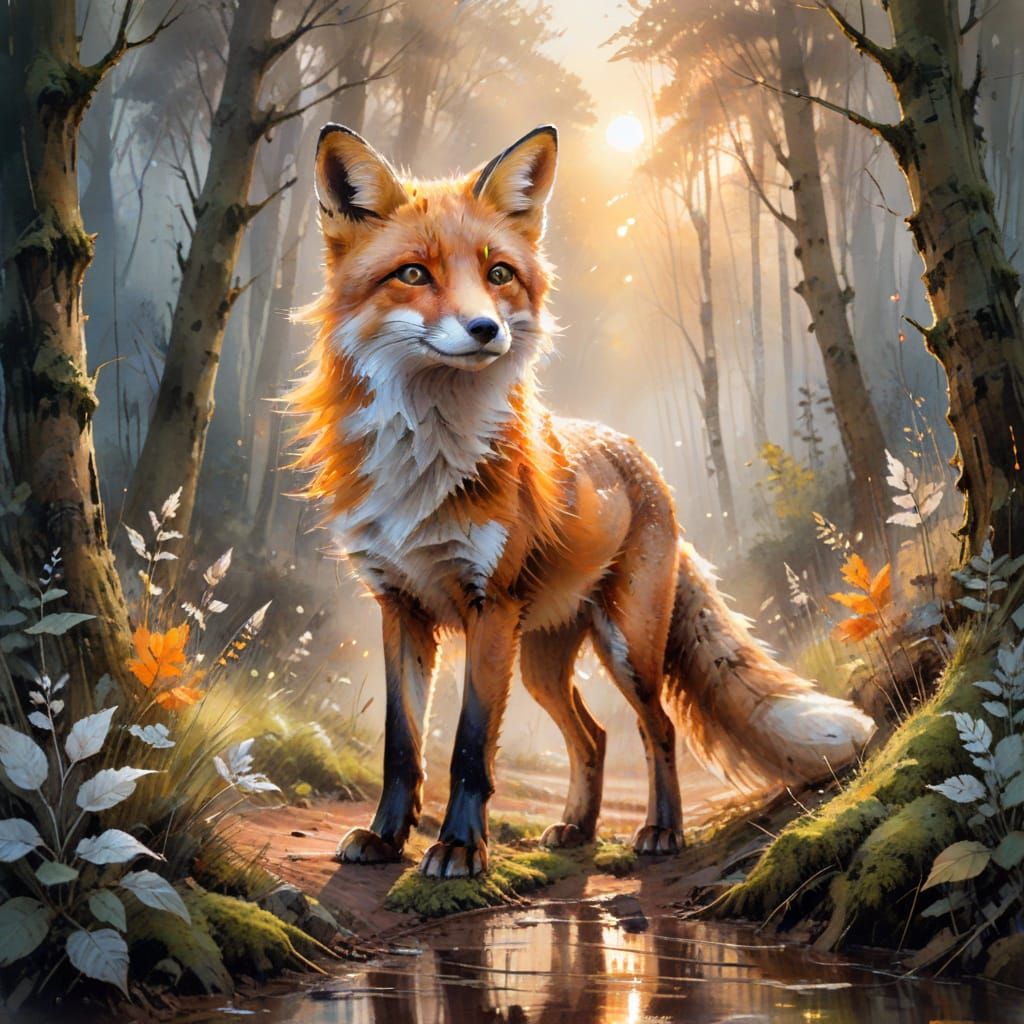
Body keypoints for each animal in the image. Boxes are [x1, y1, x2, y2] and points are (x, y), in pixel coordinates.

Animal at [289, 122, 876, 879]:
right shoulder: (400, 606)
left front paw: (460, 847)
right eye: (414, 274)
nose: (486, 330)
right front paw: (386, 839)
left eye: (499, 274)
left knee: (656, 728)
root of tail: (640, 458)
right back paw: (578, 826)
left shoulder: (488, 606)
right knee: (592, 735)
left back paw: (661, 831)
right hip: (540, 660)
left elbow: (469, 747)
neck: (425, 463)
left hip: (623, 645)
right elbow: (402, 744)